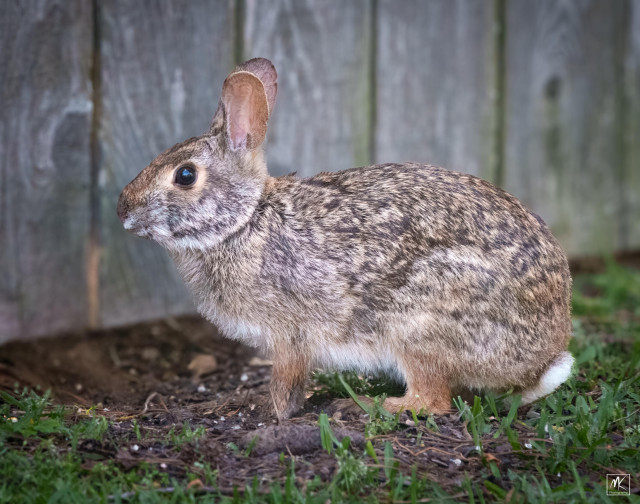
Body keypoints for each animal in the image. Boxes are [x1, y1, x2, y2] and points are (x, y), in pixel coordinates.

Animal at [117, 57, 574, 420]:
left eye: (185, 175)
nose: (123, 211)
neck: (244, 222)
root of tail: (539, 361)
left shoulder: (289, 333)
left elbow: (285, 381)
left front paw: (266, 412)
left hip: (420, 319)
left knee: (433, 400)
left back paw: (369, 405)